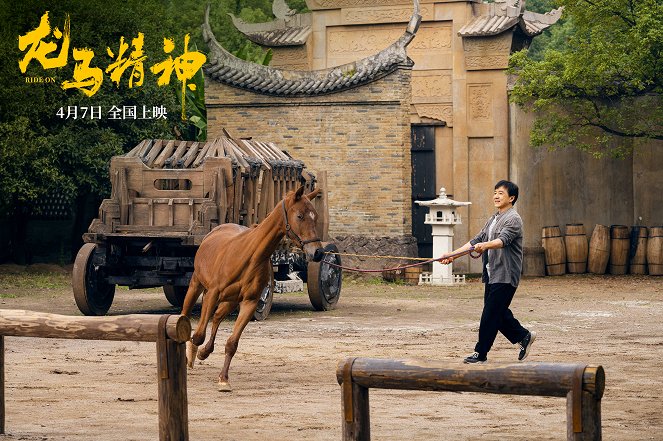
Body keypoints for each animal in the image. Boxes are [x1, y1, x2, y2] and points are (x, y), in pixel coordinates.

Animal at [179, 184, 324, 390]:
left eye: (315, 216)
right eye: (300, 216)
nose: (318, 252)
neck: (250, 255)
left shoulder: (249, 302)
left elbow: (232, 343)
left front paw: (223, 378)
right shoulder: (213, 294)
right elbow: (198, 334)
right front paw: (191, 355)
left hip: (231, 301)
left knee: (217, 317)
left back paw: (205, 351)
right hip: (196, 286)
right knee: (187, 316)